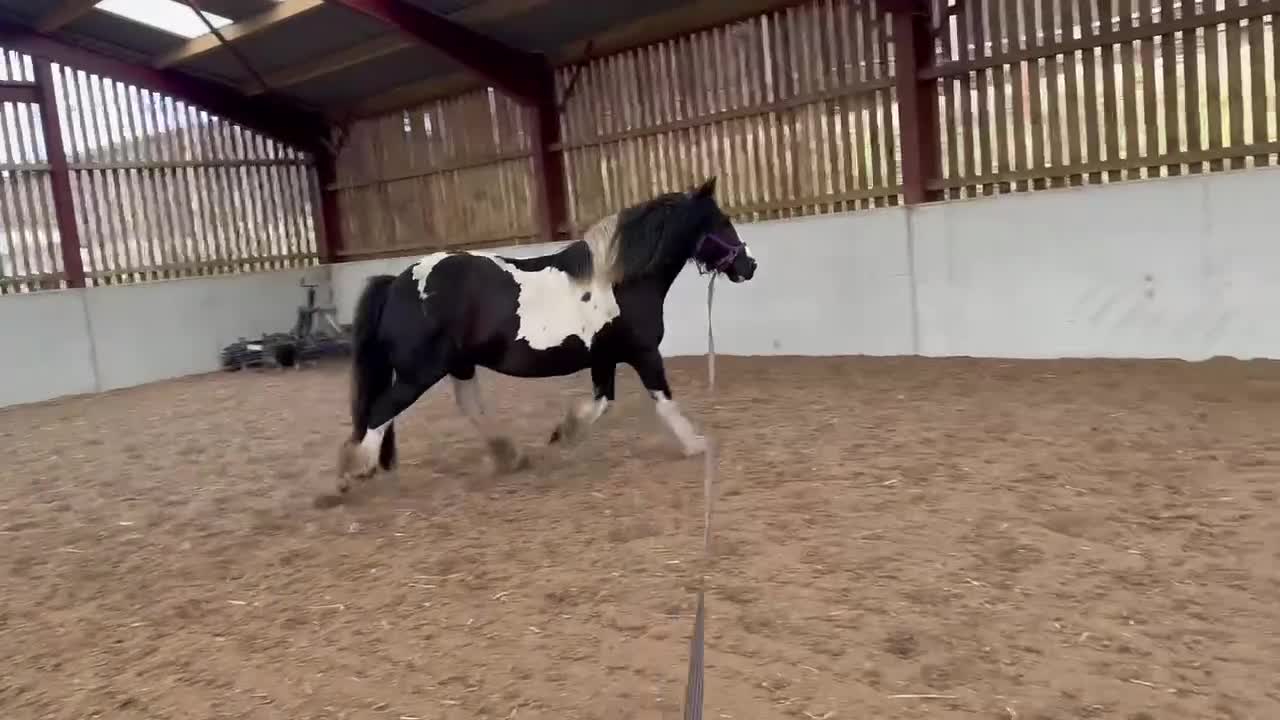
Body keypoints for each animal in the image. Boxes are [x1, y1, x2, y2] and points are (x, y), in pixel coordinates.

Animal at [335, 176, 757, 494]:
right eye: (722, 222)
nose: (749, 265)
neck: (620, 280)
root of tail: (397, 283)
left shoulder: (604, 357)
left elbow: (602, 402)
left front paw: (562, 433)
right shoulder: (643, 353)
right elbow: (664, 400)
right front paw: (696, 445)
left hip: (458, 364)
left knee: (466, 407)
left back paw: (510, 456)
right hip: (421, 372)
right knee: (381, 411)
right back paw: (353, 472)